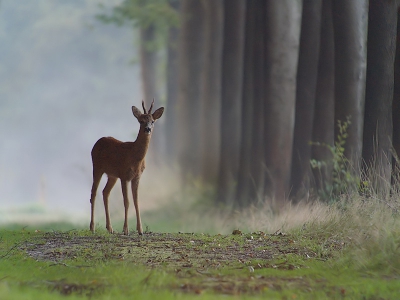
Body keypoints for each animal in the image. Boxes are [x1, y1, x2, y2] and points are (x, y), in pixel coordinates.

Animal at [89, 99, 164, 236]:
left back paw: (110, 228)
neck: (135, 157)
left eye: (152, 121)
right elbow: (127, 201)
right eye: (141, 120)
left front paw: (140, 230)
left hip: (112, 175)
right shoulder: (124, 176)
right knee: (94, 193)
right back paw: (92, 227)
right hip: (97, 167)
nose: (148, 129)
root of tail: (97, 142)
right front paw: (126, 229)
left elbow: (136, 201)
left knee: (105, 192)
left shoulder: (137, 177)